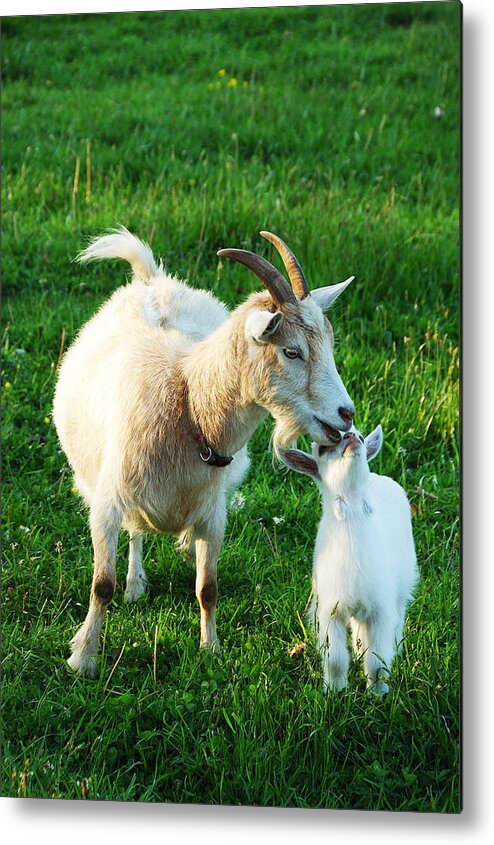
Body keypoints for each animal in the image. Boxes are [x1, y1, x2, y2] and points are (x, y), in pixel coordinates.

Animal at [53, 227, 356, 676]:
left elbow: (207, 588)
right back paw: (134, 585)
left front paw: (210, 650)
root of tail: (151, 278)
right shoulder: (107, 504)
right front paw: (83, 658)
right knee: (134, 533)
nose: (346, 414)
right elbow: (101, 585)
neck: (188, 401)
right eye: (291, 351)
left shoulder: (213, 515)